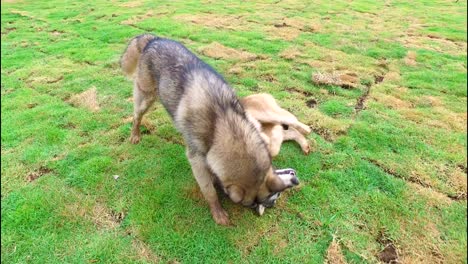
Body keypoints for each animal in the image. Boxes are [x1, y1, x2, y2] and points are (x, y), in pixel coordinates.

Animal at [121, 34, 300, 226]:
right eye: (251, 205)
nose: (296, 179)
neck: (222, 121)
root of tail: (154, 39)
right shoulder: (197, 159)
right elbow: (209, 191)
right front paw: (217, 210)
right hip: (146, 97)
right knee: (136, 116)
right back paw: (135, 134)